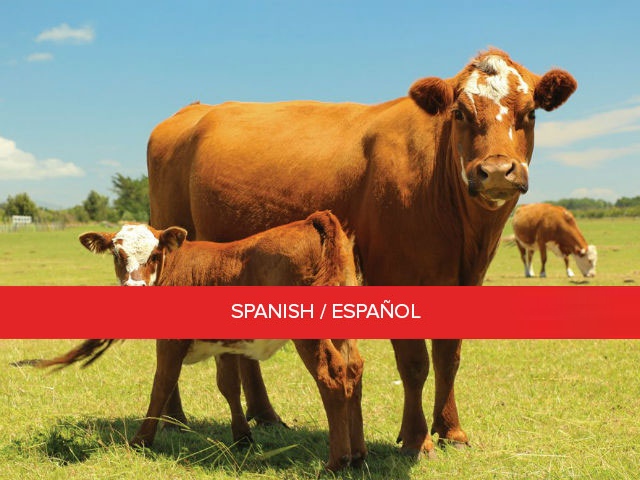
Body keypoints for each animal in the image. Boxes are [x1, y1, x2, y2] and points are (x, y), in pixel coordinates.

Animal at [35, 211, 365, 471]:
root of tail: (312, 220)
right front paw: (242, 437)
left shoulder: (171, 341)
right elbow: (229, 386)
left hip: (309, 335)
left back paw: (336, 462)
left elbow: (163, 384)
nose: (134, 288)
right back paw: (358, 455)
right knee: (353, 371)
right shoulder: (226, 344)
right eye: (118, 255)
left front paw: (141, 440)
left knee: (331, 375)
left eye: (154, 255)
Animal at [146, 48, 577, 457]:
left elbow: (448, 358)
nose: (497, 171)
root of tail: (193, 111)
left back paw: (265, 415)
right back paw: (173, 420)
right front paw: (417, 438)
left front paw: (451, 430)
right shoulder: (397, 276)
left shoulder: (464, 281)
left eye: (530, 112)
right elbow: (414, 363)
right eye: (459, 113)